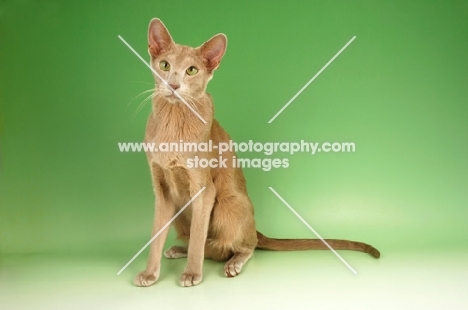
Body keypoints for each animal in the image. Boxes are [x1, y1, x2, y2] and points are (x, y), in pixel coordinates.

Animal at [133, 18, 380, 286]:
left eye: (191, 70)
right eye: (165, 65)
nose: (173, 85)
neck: (173, 121)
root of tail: (255, 228)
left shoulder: (203, 188)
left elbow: (199, 235)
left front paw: (192, 274)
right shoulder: (162, 189)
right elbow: (157, 236)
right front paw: (149, 273)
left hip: (227, 205)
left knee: (242, 246)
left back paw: (231, 263)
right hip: (180, 209)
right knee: (207, 245)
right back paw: (180, 249)